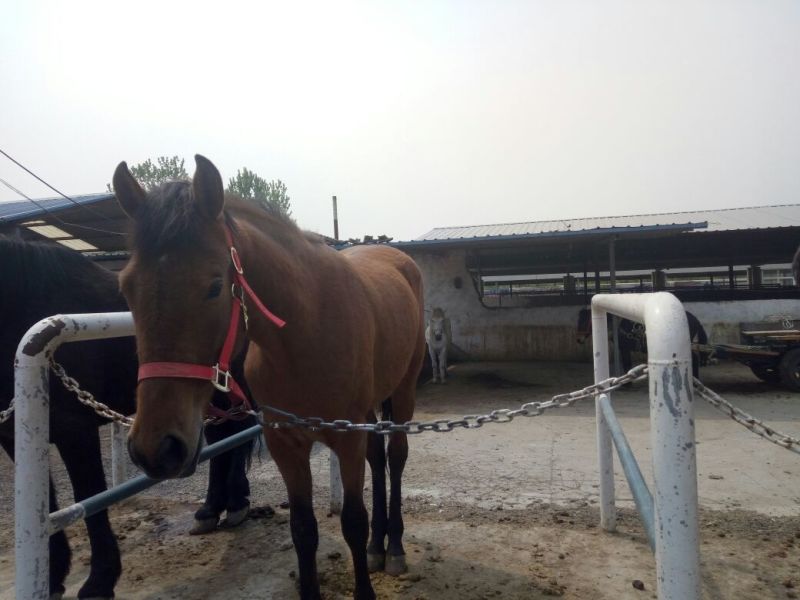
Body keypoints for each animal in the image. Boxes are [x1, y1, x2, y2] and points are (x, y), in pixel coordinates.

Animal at [0, 236, 256, 599]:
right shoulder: (14, 433)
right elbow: (44, 503)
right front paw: (52, 575)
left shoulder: (74, 431)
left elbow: (87, 498)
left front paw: (100, 580)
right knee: (225, 438)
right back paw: (213, 509)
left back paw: (232, 504)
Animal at [114, 154, 425, 600]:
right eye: (126, 287)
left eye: (214, 286)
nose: (156, 448)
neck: (306, 331)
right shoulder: (284, 442)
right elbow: (303, 529)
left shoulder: (345, 438)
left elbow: (352, 519)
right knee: (378, 458)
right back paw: (376, 548)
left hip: (402, 392)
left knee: (396, 458)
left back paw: (394, 548)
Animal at [576, 306, 707, 378]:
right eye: (579, 321)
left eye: (584, 321)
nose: (578, 340)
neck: (617, 325)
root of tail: (695, 319)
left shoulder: (624, 348)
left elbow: (627, 363)